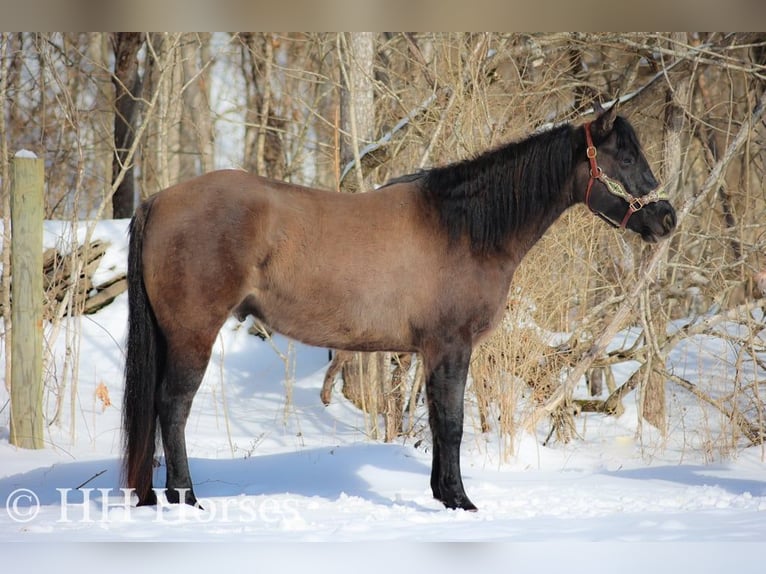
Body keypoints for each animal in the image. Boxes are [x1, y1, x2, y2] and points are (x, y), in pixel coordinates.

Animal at [122, 105, 676, 511]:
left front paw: (443, 495)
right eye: (625, 159)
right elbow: (450, 423)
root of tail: (158, 201)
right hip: (193, 333)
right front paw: (461, 501)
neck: (465, 228)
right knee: (173, 407)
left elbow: (436, 420)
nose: (666, 216)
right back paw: (187, 498)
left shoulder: (433, 351)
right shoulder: (450, 345)